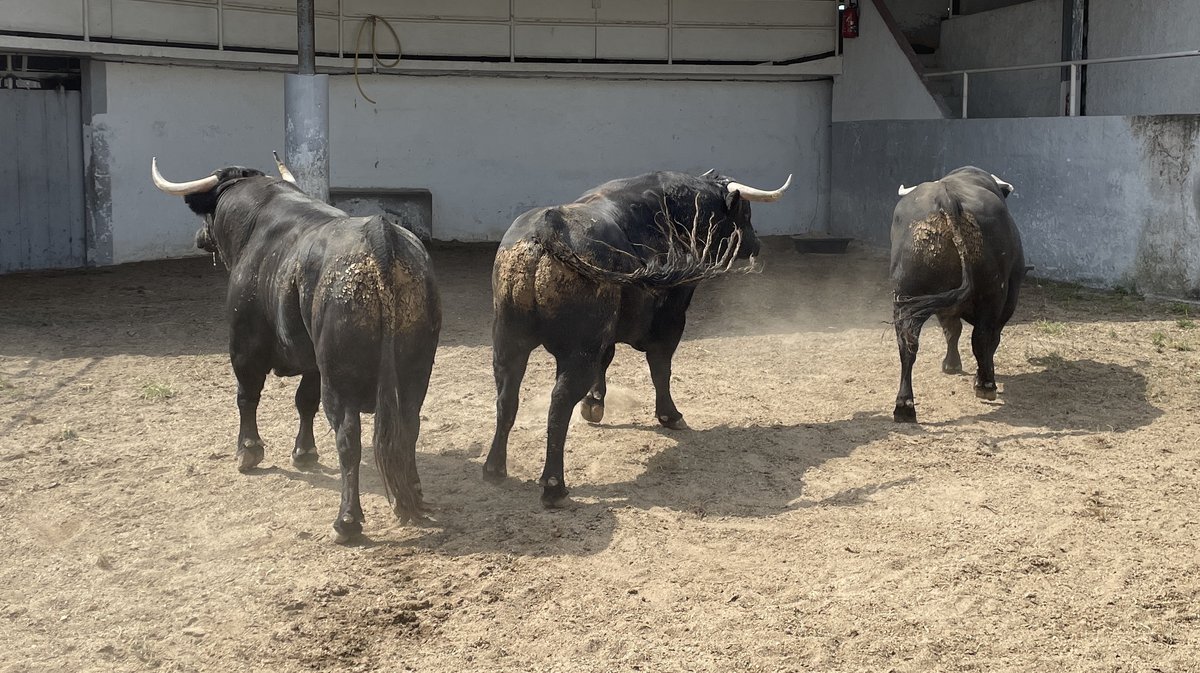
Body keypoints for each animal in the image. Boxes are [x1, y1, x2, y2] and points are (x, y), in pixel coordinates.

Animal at [154, 161, 441, 539]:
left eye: (208, 210)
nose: (199, 238)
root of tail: (382, 241)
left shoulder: (244, 345)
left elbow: (247, 396)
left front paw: (248, 452)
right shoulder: (313, 362)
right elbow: (305, 401)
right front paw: (304, 452)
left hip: (341, 382)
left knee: (348, 438)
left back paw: (346, 521)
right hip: (414, 373)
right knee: (407, 428)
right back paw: (411, 496)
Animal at [482, 170, 792, 506]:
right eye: (745, 213)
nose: (757, 244)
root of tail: (545, 229)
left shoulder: (607, 335)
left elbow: (607, 361)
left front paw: (594, 404)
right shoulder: (670, 320)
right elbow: (660, 369)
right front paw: (670, 416)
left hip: (508, 340)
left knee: (506, 399)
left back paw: (494, 468)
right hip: (578, 351)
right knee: (559, 403)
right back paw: (554, 485)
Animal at [888, 165, 1027, 422]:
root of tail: (947, 197)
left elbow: (951, 330)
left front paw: (951, 364)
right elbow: (988, 339)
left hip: (905, 298)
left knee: (908, 345)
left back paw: (904, 405)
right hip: (992, 295)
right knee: (982, 337)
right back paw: (986, 384)